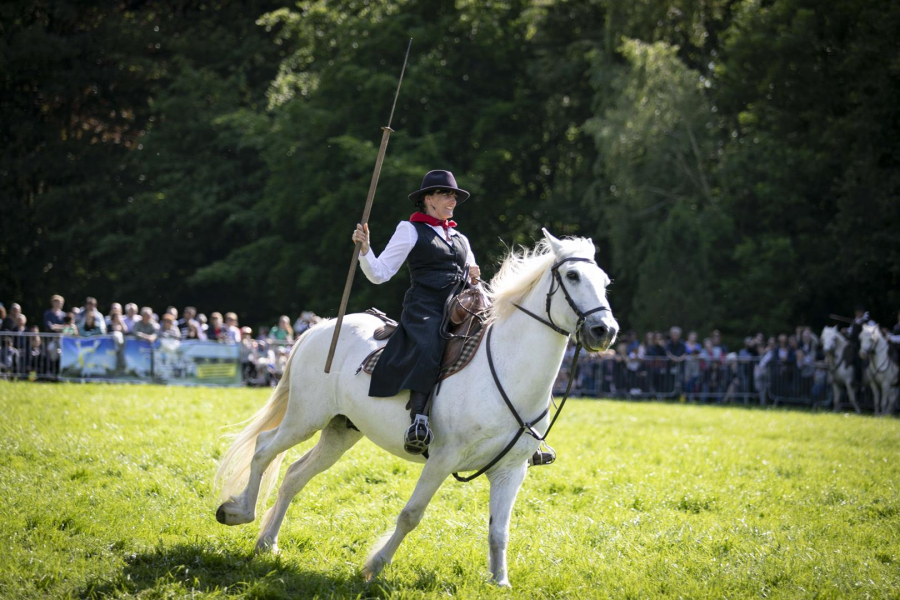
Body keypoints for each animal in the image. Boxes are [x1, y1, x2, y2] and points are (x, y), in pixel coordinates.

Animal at [214, 230, 620, 584]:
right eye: (572, 275)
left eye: (604, 281)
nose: (605, 331)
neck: (507, 368)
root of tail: (321, 327)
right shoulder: (441, 459)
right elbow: (411, 515)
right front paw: (374, 566)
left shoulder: (510, 471)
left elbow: (499, 530)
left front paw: (499, 581)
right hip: (305, 417)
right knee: (264, 448)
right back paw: (238, 512)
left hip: (340, 429)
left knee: (294, 475)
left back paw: (267, 543)